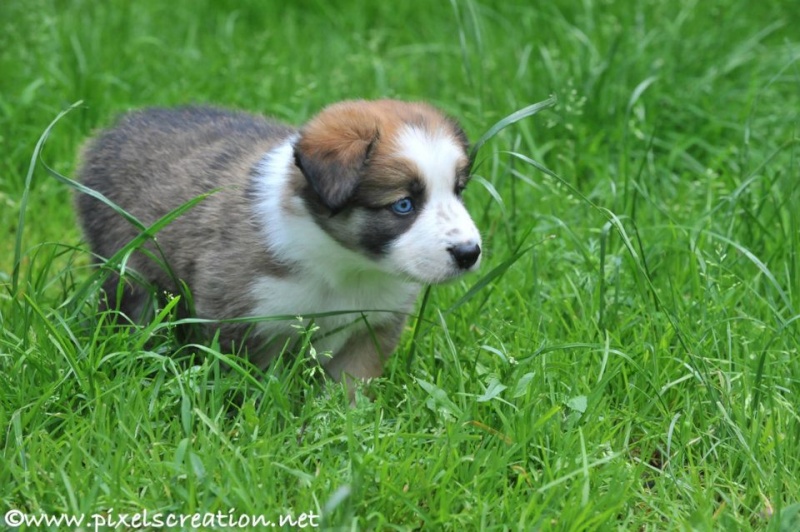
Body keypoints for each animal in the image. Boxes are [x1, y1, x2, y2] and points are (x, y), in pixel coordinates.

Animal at [78, 101, 482, 386]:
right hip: (128, 271)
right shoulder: (242, 318)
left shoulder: (373, 327)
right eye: (403, 205)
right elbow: (248, 386)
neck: (344, 266)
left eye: (458, 190)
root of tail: (114, 130)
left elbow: (350, 387)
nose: (469, 253)